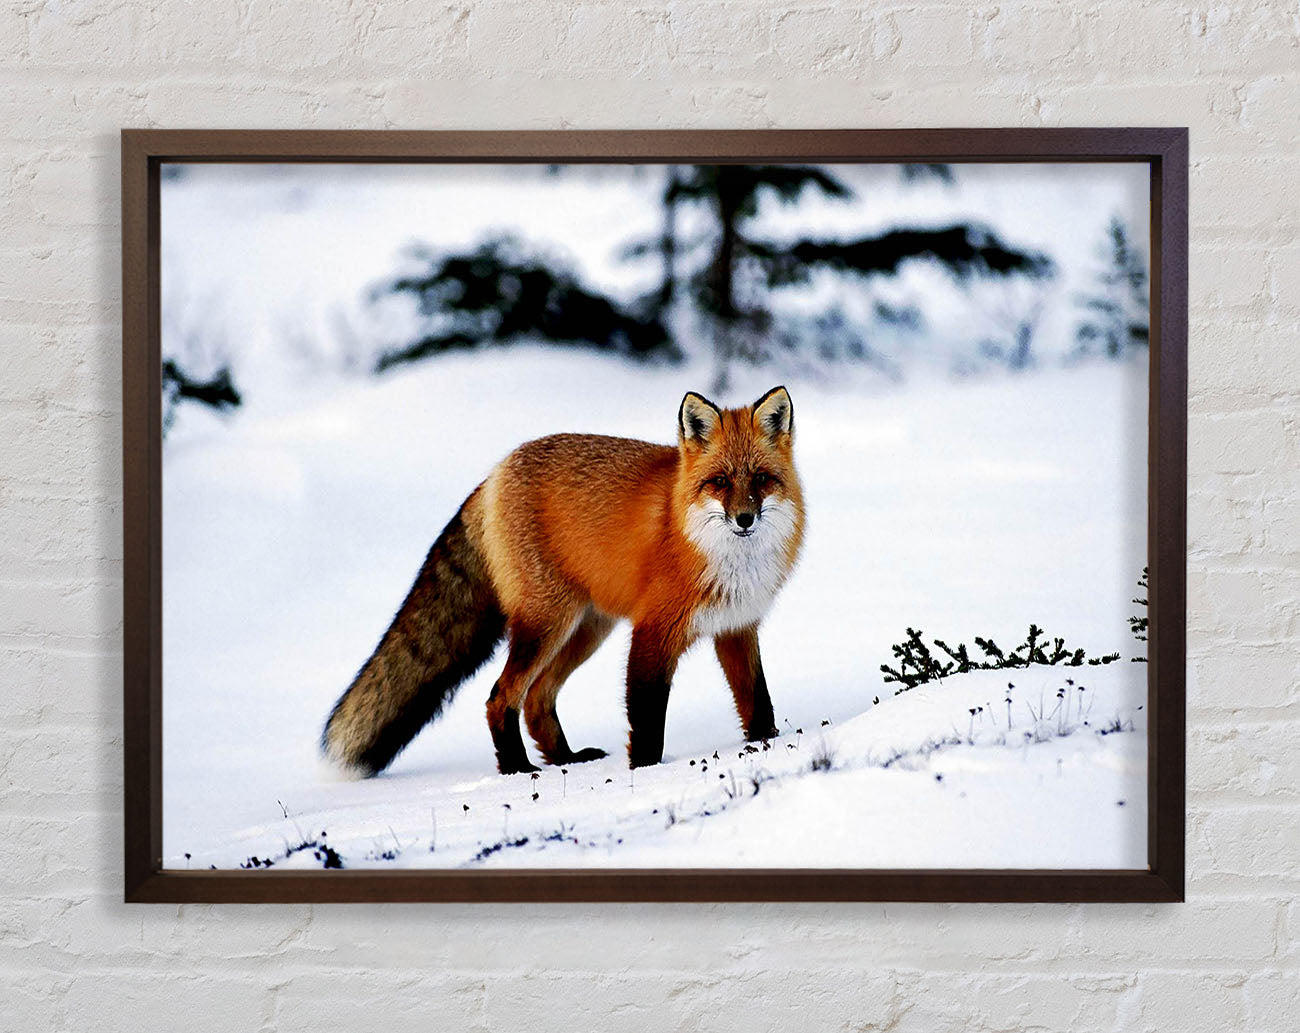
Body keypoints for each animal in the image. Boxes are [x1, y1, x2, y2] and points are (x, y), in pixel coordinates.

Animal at [321, 385, 804, 776]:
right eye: (719, 482)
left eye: (761, 479)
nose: (744, 519)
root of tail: (495, 472)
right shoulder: (653, 631)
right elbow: (647, 717)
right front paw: (646, 772)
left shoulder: (736, 627)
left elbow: (758, 700)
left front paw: (767, 745)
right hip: (546, 624)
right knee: (501, 697)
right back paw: (517, 769)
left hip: (587, 629)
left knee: (537, 699)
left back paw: (565, 759)